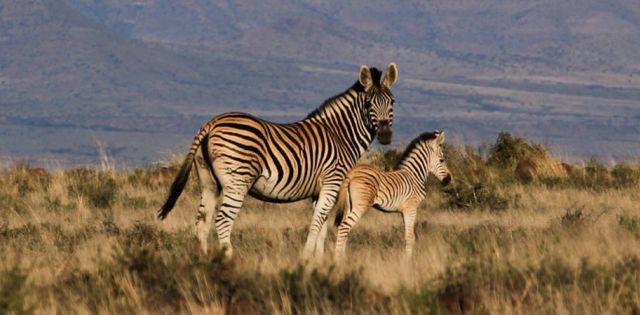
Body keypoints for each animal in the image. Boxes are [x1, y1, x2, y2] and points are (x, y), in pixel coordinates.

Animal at [158, 62, 398, 260]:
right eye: (369, 103)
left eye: (392, 102)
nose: (386, 135)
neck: (340, 135)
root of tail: (211, 123)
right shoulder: (332, 182)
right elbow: (317, 223)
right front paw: (306, 258)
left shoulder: (319, 190)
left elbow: (322, 225)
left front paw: (318, 261)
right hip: (237, 182)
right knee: (223, 221)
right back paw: (230, 259)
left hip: (209, 181)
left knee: (202, 221)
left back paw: (204, 261)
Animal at [332, 131, 452, 262]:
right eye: (442, 160)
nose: (448, 180)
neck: (414, 176)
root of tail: (353, 172)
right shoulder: (411, 208)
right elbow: (410, 237)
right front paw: (408, 261)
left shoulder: (404, 211)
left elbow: (407, 235)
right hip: (361, 205)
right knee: (344, 227)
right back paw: (338, 260)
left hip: (349, 204)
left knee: (345, 229)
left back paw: (344, 258)